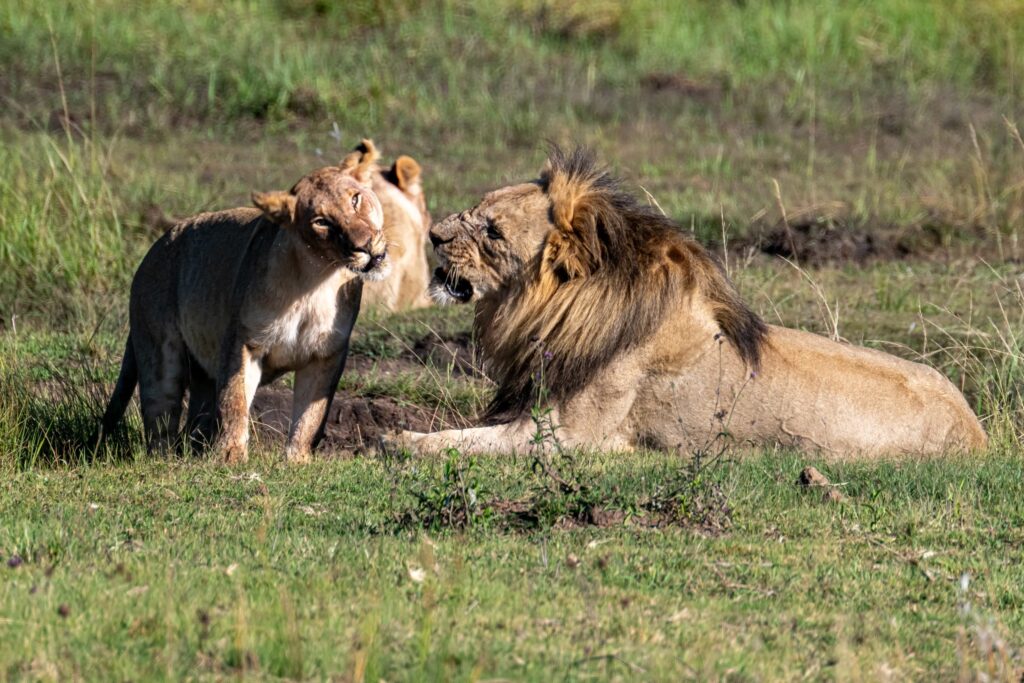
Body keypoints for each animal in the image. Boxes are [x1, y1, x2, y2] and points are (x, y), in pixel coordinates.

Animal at [100, 141, 387, 462]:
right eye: (322, 222)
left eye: (356, 199)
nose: (365, 246)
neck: (316, 281)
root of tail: (153, 249)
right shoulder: (244, 342)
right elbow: (234, 400)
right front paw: (231, 455)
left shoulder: (326, 353)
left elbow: (311, 414)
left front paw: (296, 460)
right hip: (159, 352)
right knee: (160, 415)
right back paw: (166, 462)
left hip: (201, 372)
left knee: (196, 419)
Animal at [391, 149, 983, 458]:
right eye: (479, 206)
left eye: (492, 230)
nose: (434, 236)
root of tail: (977, 432)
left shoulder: (572, 436)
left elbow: (462, 442)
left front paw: (397, 438)